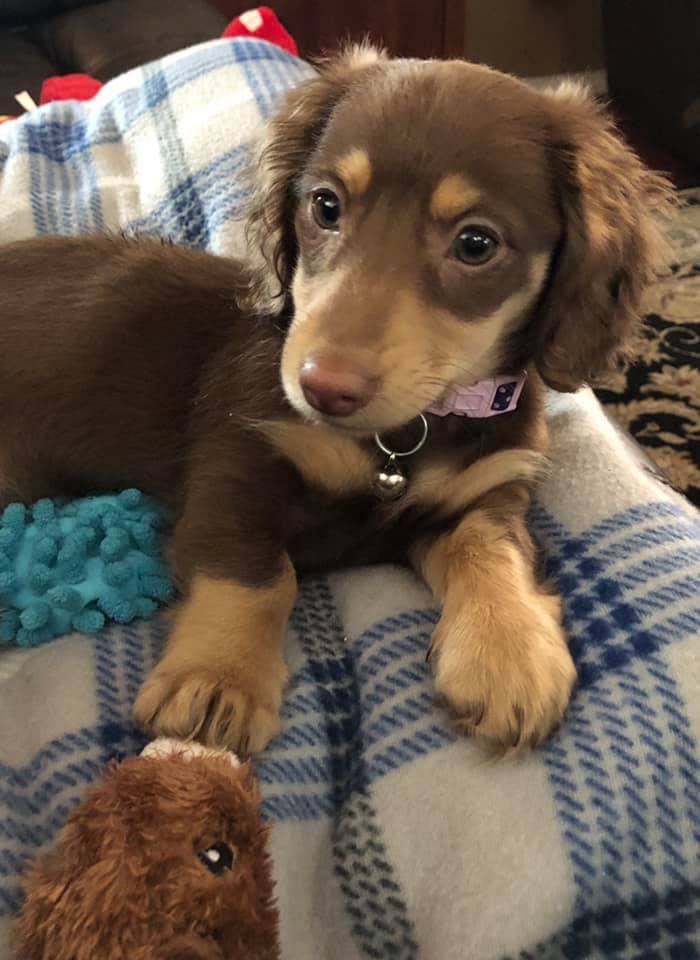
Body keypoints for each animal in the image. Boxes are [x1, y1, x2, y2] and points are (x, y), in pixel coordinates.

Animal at [0, 47, 672, 752]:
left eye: (476, 243)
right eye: (325, 205)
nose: (322, 388)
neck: (409, 434)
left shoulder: (488, 492)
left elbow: (491, 547)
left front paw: (508, 653)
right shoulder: (234, 470)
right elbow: (262, 576)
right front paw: (218, 678)